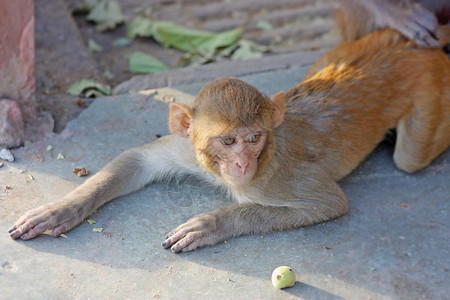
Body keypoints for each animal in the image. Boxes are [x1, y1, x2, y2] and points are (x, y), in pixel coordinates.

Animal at [7, 26, 450, 253]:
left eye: (254, 138)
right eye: (226, 142)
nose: (242, 165)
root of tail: (405, 42)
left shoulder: (270, 181)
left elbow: (329, 202)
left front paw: (212, 223)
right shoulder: (186, 146)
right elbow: (139, 161)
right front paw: (61, 209)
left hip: (431, 85)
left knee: (410, 158)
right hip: (341, 53)